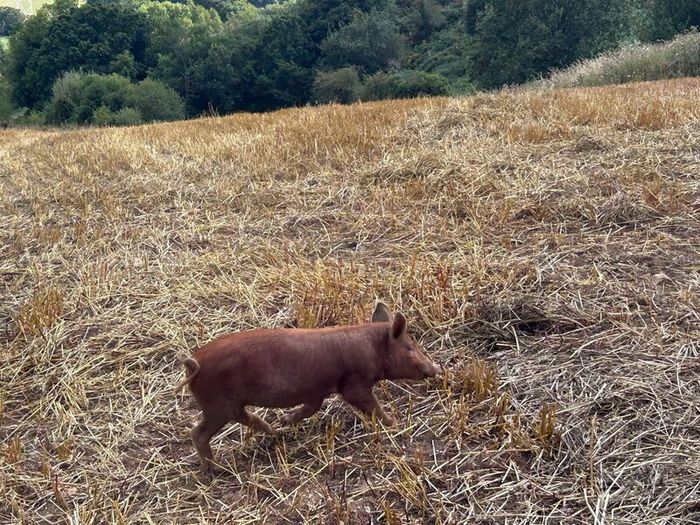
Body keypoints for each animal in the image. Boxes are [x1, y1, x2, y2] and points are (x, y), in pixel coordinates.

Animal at [174, 302, 441, 470]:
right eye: (410, 348)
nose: (436, 367)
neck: (372, 348)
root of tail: (194, 364)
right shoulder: (354, 384)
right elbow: (370, 405)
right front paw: (394, 423)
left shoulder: (316, 390)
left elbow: (311, 408)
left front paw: (286, 420)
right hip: (217, 405)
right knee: (198, 432)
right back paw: (215, 469)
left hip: (226, 405)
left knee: (242, 417)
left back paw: (274, 430)